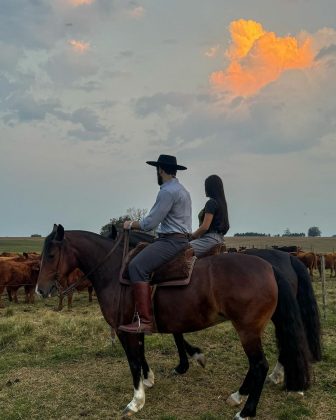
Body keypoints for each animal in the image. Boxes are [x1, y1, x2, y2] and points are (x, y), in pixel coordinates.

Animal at [169, 249, 322, 384]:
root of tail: (289, 258)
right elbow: (177, 334)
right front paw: (189, 360)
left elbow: (177, 336)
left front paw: (185, 363)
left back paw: (274, 376)